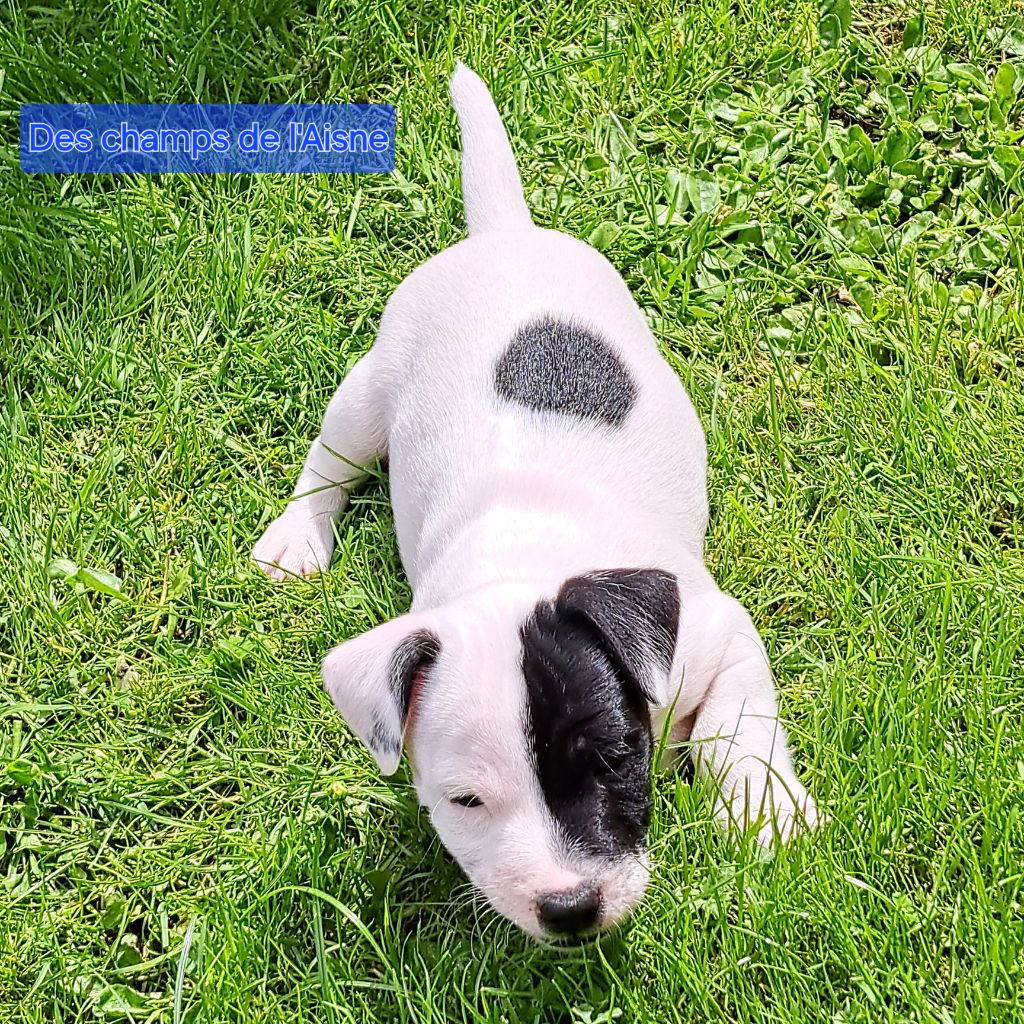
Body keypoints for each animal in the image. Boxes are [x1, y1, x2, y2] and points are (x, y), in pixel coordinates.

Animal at [251, 64, 819, 937]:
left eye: (614, 758)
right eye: (466, 802)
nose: (570, 907)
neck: (522, 563)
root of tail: (501, 236)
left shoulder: (719, 634)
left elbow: (739, 728)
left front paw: (767, 811)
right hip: (369, 387)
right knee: (331, 458)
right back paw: (297, 534)